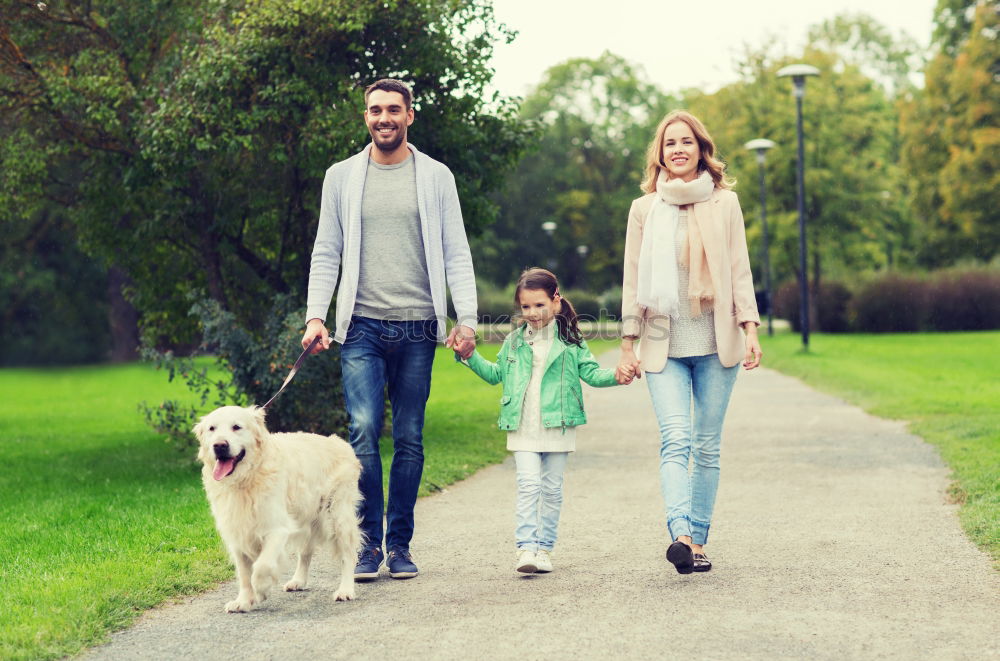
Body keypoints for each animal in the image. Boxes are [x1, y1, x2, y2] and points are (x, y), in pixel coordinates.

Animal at [193, 404, 362, 612]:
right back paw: (298, 581)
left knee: (348, 554)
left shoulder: (276, 528)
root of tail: (338, 441)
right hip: (306, 516)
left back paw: (345, 590)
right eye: (212, 429)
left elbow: (262, 566)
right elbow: (244, 574)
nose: (219, 445)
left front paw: (261, 589)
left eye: (236, 427)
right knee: (305, 552)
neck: (246, 479)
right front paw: (243, 601)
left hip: (338, 515)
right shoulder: (237, 532)